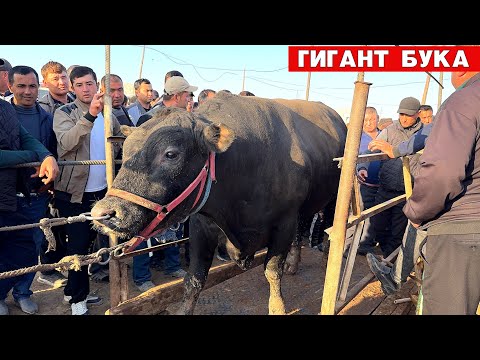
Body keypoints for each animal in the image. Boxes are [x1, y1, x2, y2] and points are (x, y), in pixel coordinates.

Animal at [91, 93, 344, 316]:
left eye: (171, 154)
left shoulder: (284, 223)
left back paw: (326, 261)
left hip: (333, 197)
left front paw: (277, 307)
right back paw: (294, 263)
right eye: (125, 151)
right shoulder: (201, 226)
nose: (103, 212)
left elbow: (272, 271)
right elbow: (194, 279)